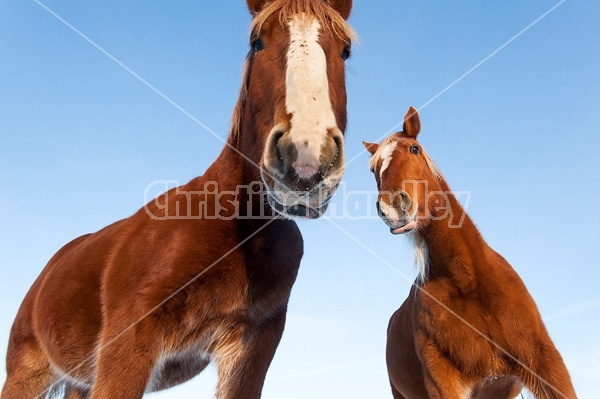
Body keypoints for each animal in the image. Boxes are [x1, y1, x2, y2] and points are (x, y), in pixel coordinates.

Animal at [1, 1, 356, 398]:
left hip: (79, 380)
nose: (306, 158)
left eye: (345, 50)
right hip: (26, 376)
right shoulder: (128, 344)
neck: (239, 230)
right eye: (256, 42)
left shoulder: (254, 345)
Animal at [364, 107, 580, 399]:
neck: (467, 280)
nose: (392, 207)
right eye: (374, 169)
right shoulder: (441, 379)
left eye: (414, 149)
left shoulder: (545, 361)